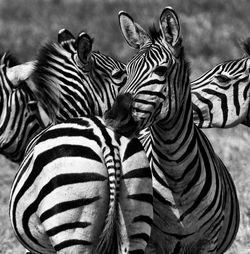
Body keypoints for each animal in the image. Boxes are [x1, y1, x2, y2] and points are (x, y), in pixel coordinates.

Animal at [104, 6, 240, 253]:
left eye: (161, 70)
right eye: (127, 71)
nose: (112, 119)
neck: (176, 173)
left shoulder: (208, 243)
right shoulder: (149, 243)